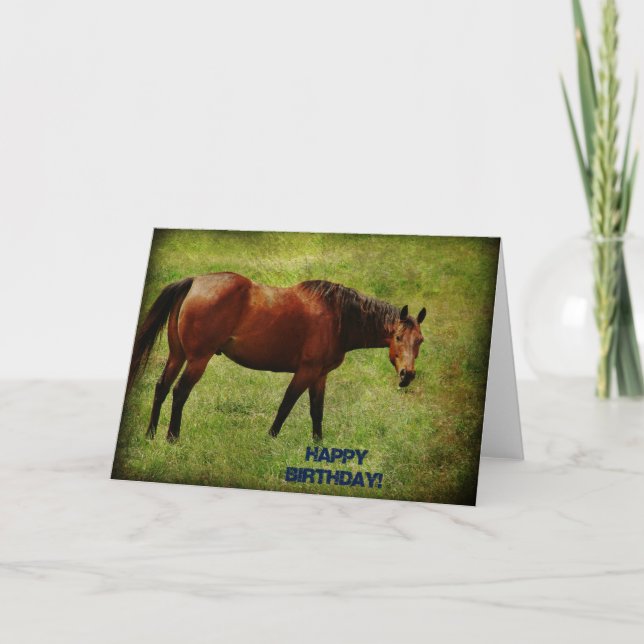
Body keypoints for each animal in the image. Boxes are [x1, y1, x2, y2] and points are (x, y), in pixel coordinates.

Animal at [127, 272, 426, 442]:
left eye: (420, 341)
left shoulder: (320, 375)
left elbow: (317, 411)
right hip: (198, 359)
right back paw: (172, 438)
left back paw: (151, 435)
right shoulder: (306, 372)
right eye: (398, 338)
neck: (337, 316)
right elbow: (287, 405)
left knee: (161, 387)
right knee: (179, 392)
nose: (407, 376)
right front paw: (270, 439)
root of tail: (195, 282)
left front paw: (318, 446)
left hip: (177, 355)